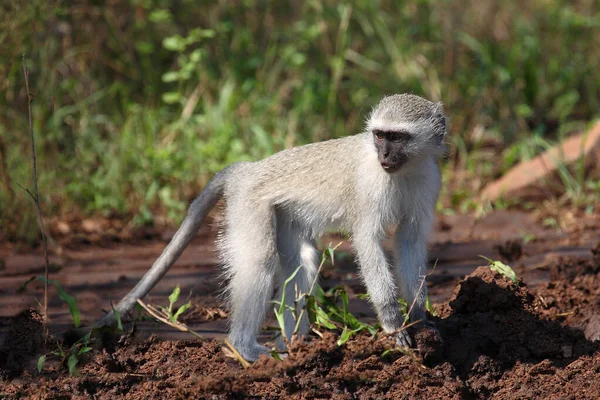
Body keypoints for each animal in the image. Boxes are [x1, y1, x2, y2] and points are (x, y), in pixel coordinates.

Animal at [98, 93, 446, 360]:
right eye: (379, 135)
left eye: (397, 137)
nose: (384, 154)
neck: (404, 171)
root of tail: (248, 169)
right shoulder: (371, 187)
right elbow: (367, 242)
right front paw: (393, 322)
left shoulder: (429, 178)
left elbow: (410, 242)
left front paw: (419, 316)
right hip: (249, 204)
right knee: (258, 262)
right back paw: (244, 347)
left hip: (286, 213)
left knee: (303, 264)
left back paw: (293, 344)